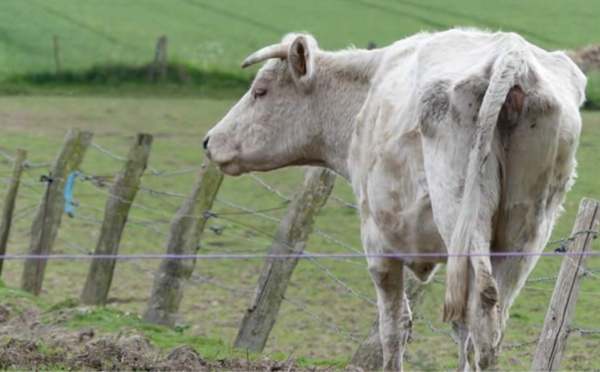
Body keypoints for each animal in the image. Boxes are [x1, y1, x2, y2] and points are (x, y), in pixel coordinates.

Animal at [205, 28, 584, 370]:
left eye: (260, 91)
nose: (209, 140)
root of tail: (512, 55)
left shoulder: (379, 244)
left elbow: (394, 326)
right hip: (525, 232)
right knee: (489, 323)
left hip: (463, 218)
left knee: (482, 314)